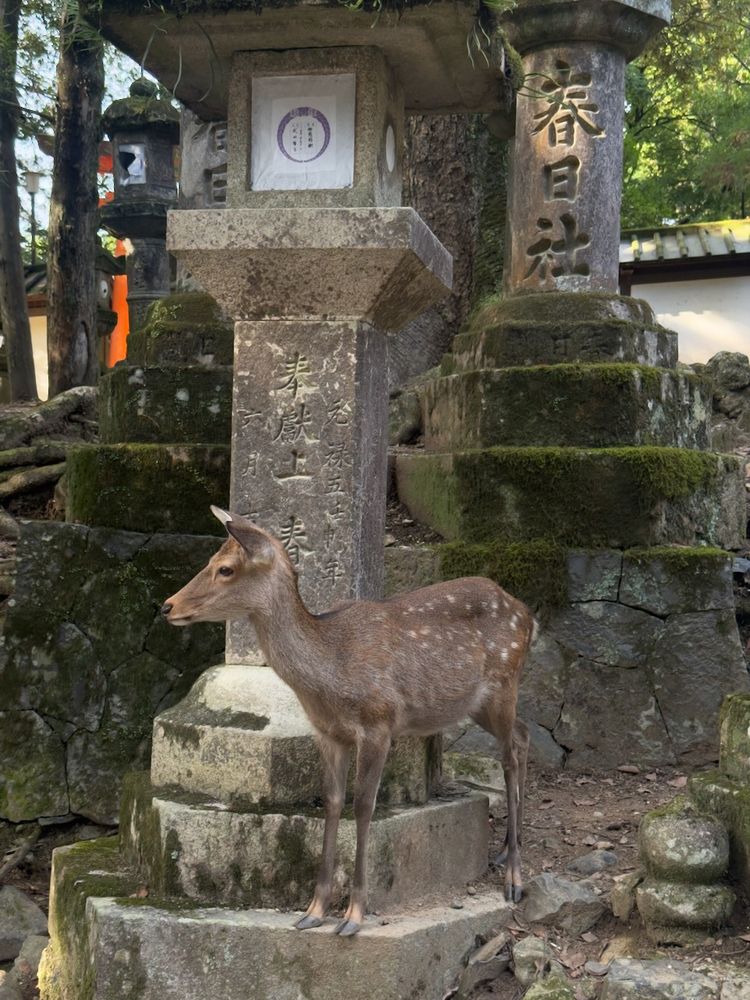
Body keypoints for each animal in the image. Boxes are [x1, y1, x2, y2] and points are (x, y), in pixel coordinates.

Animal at [161, 506, 534, 937]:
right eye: (210, 561)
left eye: (225, 569)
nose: (167, 606)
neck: (330, 678)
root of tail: (528, 615)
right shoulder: (327, 733)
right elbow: (334, 804)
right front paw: (313, 910)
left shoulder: (379, 725)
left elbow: (364, 807)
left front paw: (354, 916)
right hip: (475, 704)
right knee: (523, 736)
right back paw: (507, 848)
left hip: (504, 683)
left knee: (509, 756)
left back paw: (514, 878)